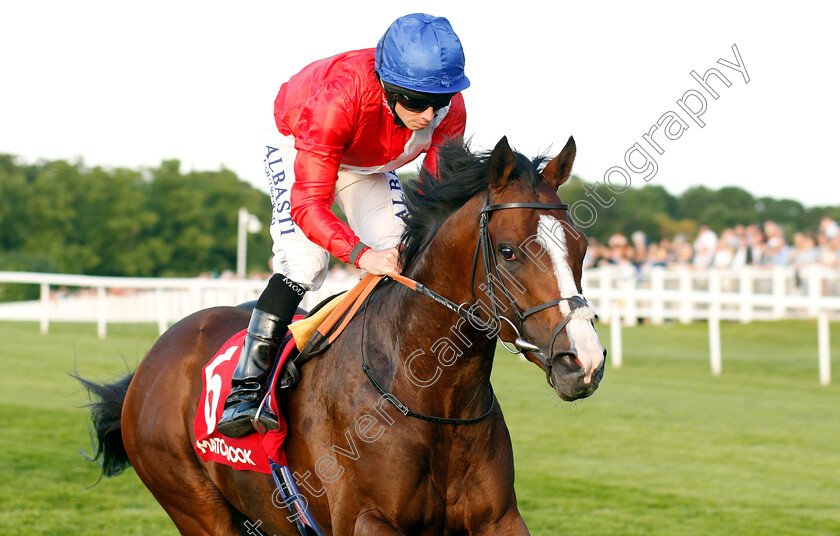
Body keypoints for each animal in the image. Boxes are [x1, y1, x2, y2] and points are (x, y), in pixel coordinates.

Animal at [79, 136, 604, 532]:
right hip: (194, 504)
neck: (434, 399)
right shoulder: (367, 520)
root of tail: (152, 362)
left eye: (581, 246)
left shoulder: (499, 518)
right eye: (510, 251)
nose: (584, 361)